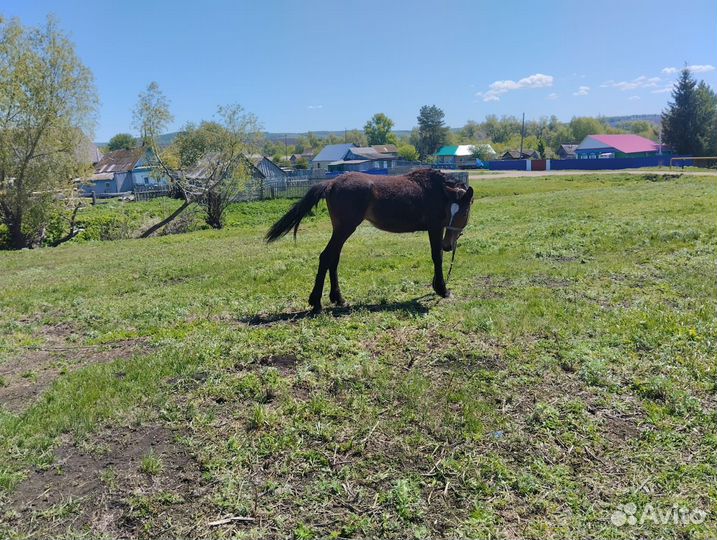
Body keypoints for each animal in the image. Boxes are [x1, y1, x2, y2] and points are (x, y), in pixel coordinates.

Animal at [266, 168, 474, 311]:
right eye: (453, 212)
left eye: (463, 212)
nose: (448, 245)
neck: (435, 192)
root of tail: (332, 183)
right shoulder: (435, 228)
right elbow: (437, 257)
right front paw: (442, 289)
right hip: (345, 228)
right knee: (326, 257)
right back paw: (316, 303)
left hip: (340, 230)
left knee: (333, 258)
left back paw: (338, 298)